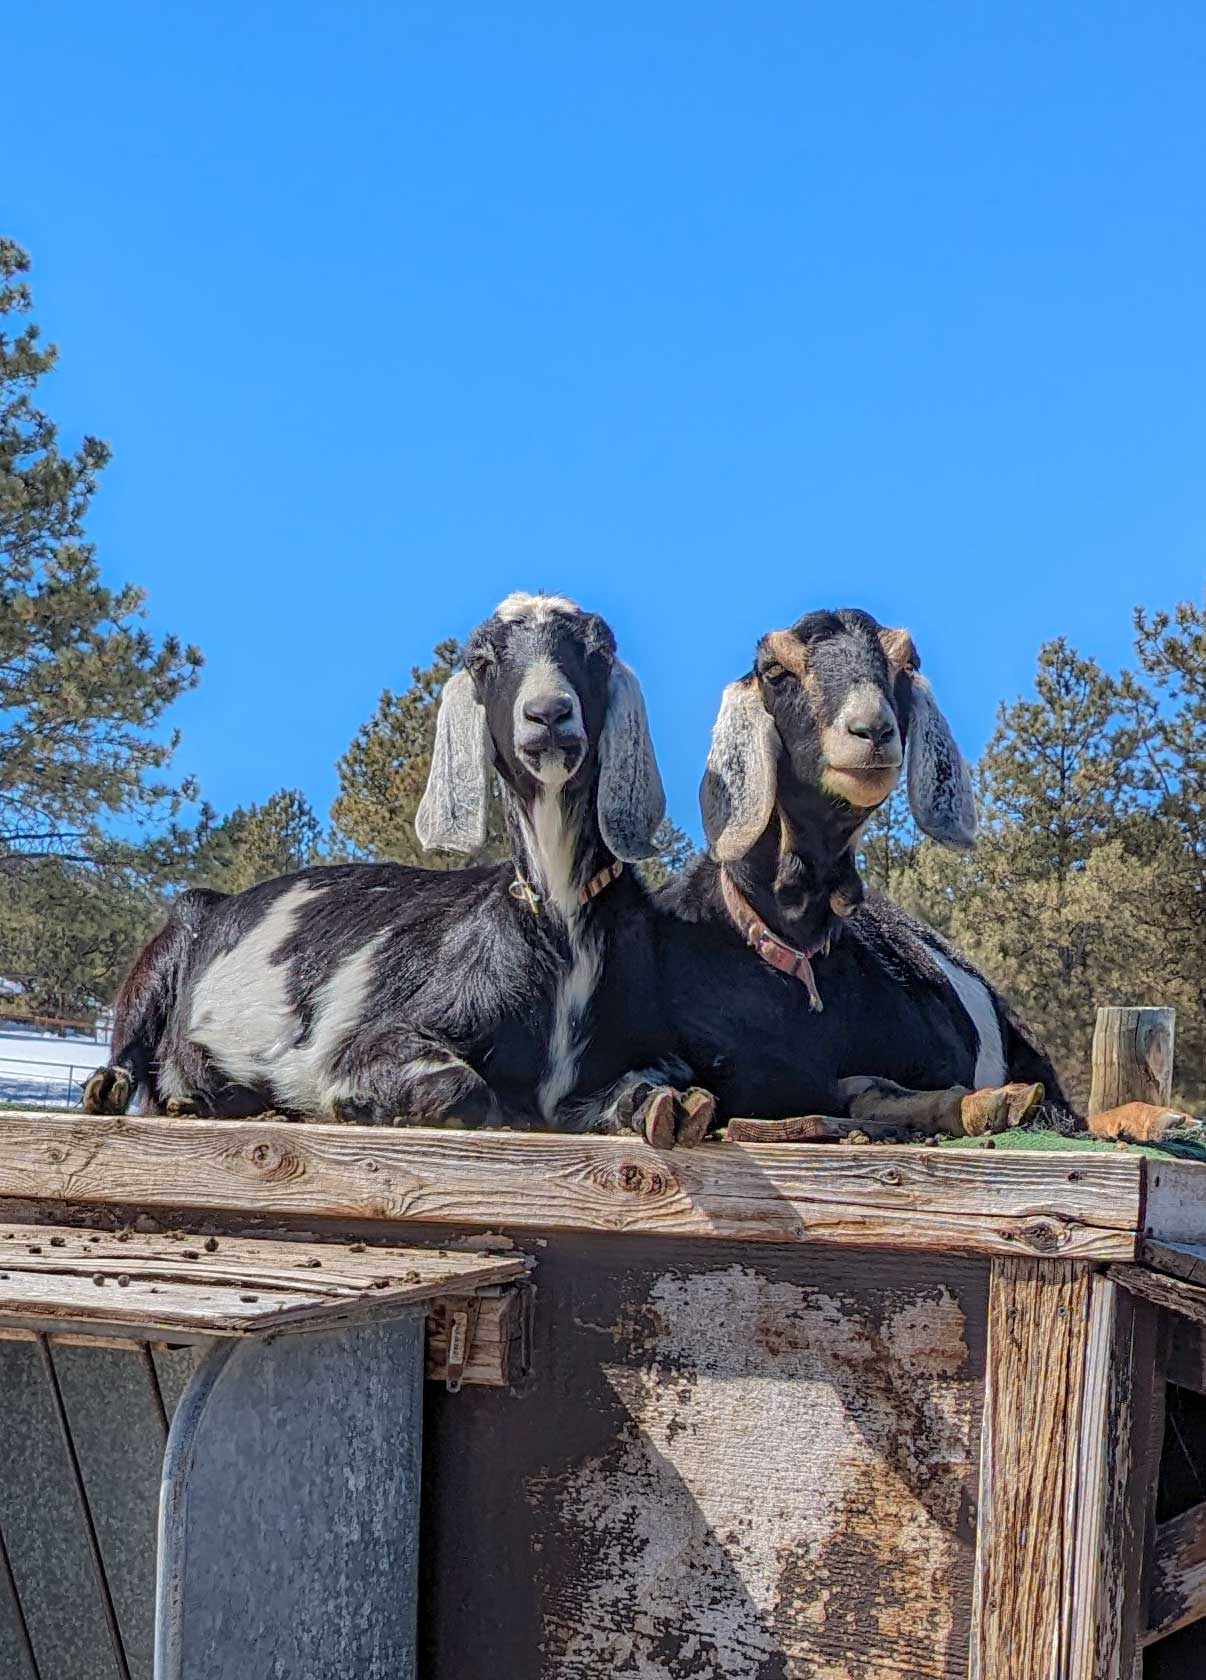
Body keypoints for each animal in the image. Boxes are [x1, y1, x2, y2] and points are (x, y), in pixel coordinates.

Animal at [84, 593, 714, 1143]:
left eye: (599, 652)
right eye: (482, 661)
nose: (548, 714)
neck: (556, 920)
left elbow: (665, 1081)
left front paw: (669, 1109)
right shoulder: (369, 1040)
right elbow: (462, 1088)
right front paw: (356, 1104)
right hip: (168, 947)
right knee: (131, 1041)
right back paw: (123, 1087)